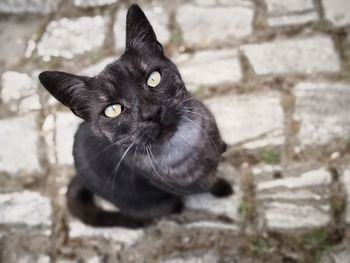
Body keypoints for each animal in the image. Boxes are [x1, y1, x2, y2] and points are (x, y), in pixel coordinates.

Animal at [39, 4, 232, 231]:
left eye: (153, 78)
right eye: (113, 110)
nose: (151, 112)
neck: (191, 142)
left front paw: (224, 149)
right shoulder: (195, 184)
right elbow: (211, 184)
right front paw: (224, 188)